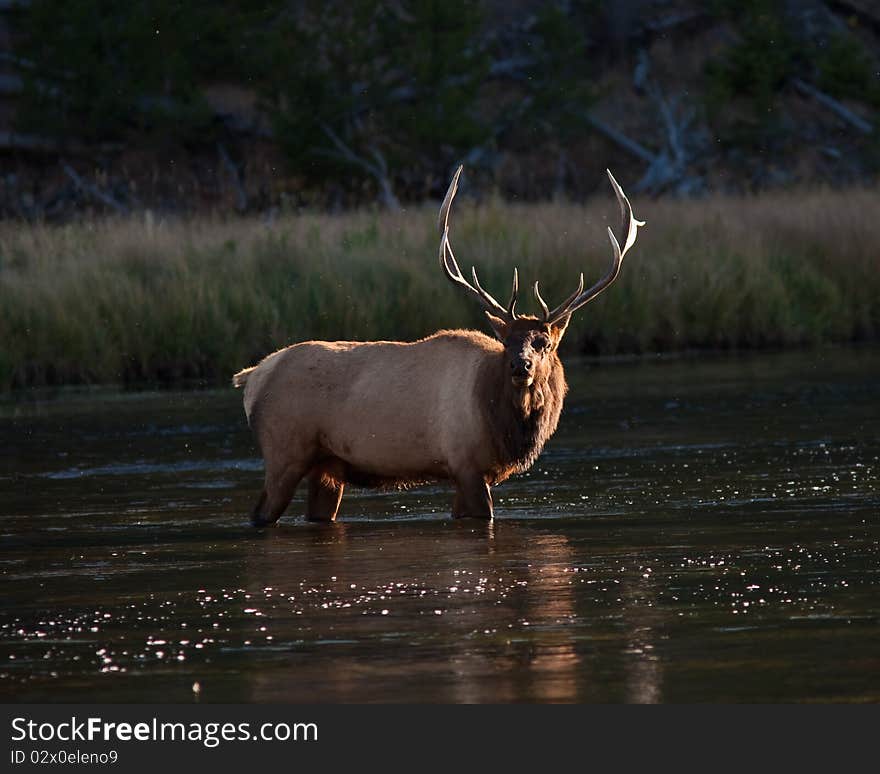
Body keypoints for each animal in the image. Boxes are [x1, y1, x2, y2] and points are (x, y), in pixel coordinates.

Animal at [234, 166, 644, 524]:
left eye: (543, 342)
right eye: (506, 342)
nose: (520, 365)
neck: (503, 424)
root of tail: (252, 376)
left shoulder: (466, 474)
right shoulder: (466, 463)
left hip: (328, 467)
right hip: (284, 452)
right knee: (259, 513)